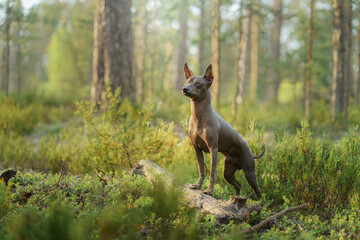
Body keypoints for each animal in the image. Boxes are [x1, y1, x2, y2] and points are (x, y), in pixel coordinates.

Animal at [181, 62, 262, 198]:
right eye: (186, 82)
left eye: (198, 84)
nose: (184, 88)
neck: (199, 116)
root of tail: (252, 153)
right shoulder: (197, 149)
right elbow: (201, 170)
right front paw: (197, 185)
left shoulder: (213, 149)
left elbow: (212, 173)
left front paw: (209, 190)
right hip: (227, 172)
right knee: (238, 185)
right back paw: (236, 198)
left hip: (249, 172)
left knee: (258, 191)